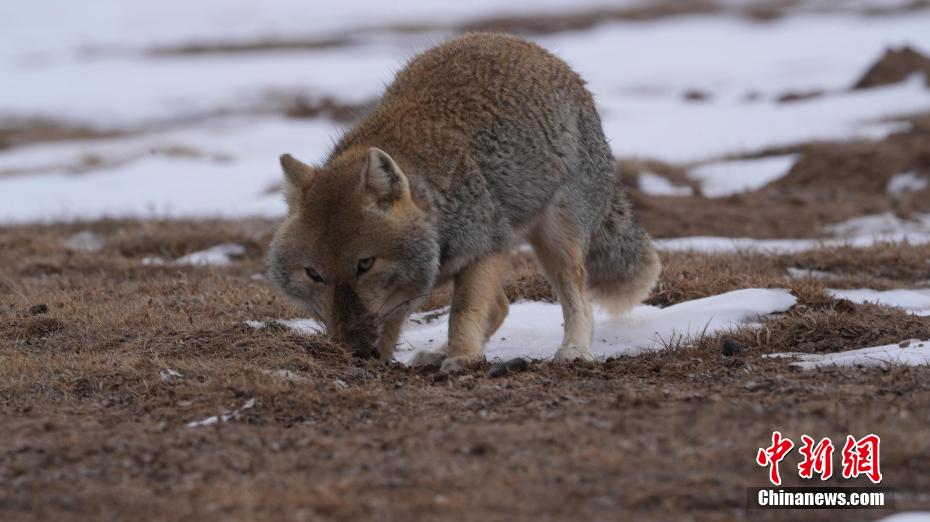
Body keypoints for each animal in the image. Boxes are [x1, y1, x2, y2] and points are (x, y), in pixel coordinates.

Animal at [266, 31, 660, 370]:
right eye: (314, 274)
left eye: (365, 264)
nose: (352, 350)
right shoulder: (415, 287)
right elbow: (397, 319)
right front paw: (391, 357)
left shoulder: (485, 249)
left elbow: (463, 311)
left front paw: (463, 358)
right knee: (501, 306)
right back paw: (438, 352)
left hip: (557, 242)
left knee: (575, 295)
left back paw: (574, 349)